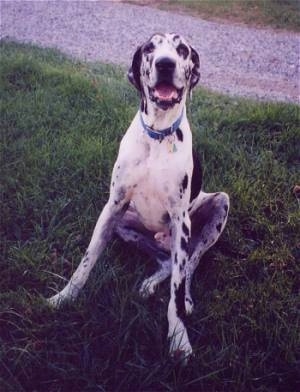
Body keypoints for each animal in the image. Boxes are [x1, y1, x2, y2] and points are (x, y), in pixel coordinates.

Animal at [48, 33, 229, 362]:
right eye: (149, 48)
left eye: (182, 49)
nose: (165, 63)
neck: (158, 135)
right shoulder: (112, 207)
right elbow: (86, 261)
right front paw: (64, 298)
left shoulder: (181, 220)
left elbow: (175, 295)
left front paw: (178, 337)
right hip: (127, 226)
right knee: (167, 263)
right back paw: (149, 283)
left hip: (218, 206)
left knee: (188, 265)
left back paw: (186, 298)